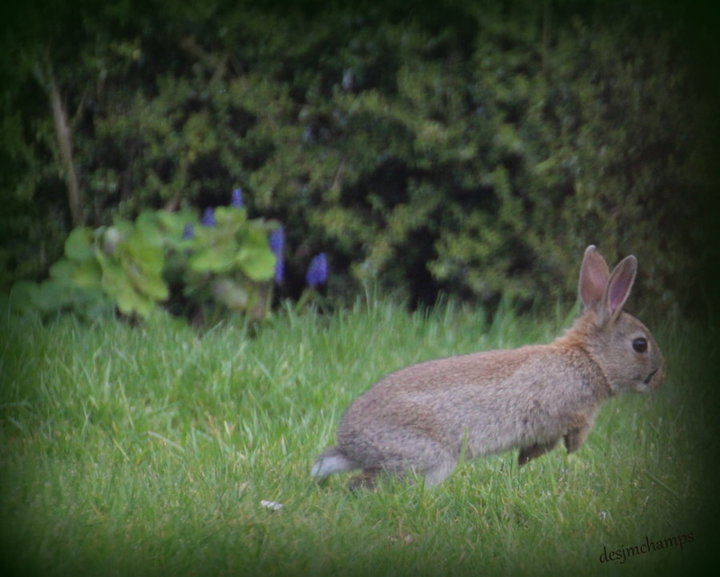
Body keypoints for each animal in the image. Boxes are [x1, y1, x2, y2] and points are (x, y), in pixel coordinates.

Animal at [310, 245, 664, 488]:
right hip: (427, 456)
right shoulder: (566, 411)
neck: (589, 359)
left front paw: (524, 460)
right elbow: (567, 435)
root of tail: (350, 444)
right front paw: (550, 453)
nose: (660, 377)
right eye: (640, 345)